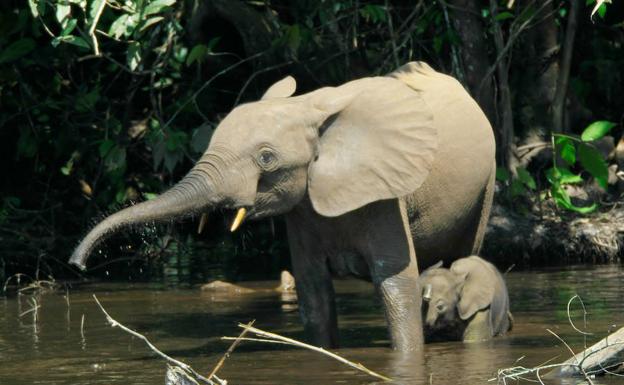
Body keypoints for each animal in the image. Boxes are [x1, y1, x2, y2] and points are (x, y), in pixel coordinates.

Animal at [69, 62, 498, 352]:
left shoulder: (385, 194)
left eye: (266, 158)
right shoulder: (303, 209)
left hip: (487, 184)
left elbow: (395, 284)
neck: (308, 108)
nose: (77, 265)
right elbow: (313, 292)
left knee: (463, 256)